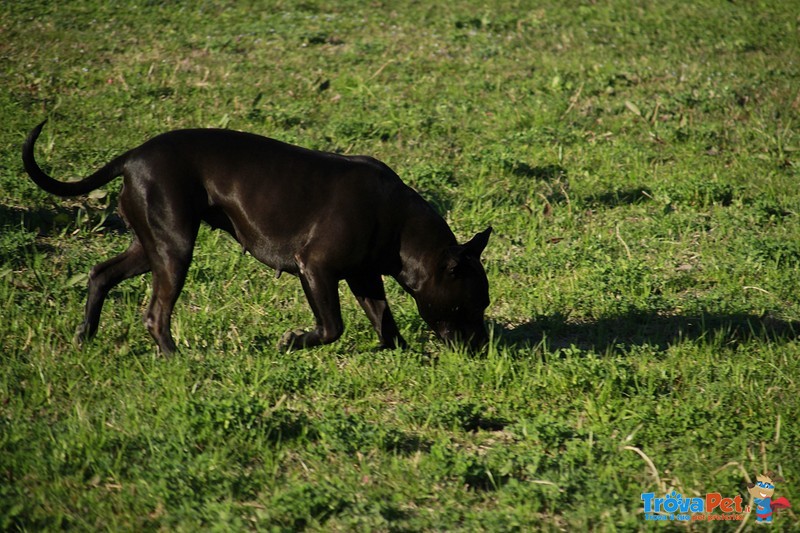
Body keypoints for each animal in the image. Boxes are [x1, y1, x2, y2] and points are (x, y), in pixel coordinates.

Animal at [21, 121, 490, 354]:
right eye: (472, 305)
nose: (484, 346)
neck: (400, 225)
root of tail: (133, 156)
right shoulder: (315, 269)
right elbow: (332, 327)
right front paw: (293, 342)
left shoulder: (364, 278)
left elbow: (384, 321)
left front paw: (405, 353)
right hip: (174, 250)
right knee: (155, 313)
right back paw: (176, 357)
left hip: (149, 246)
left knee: (101, 274)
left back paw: (84, 338)